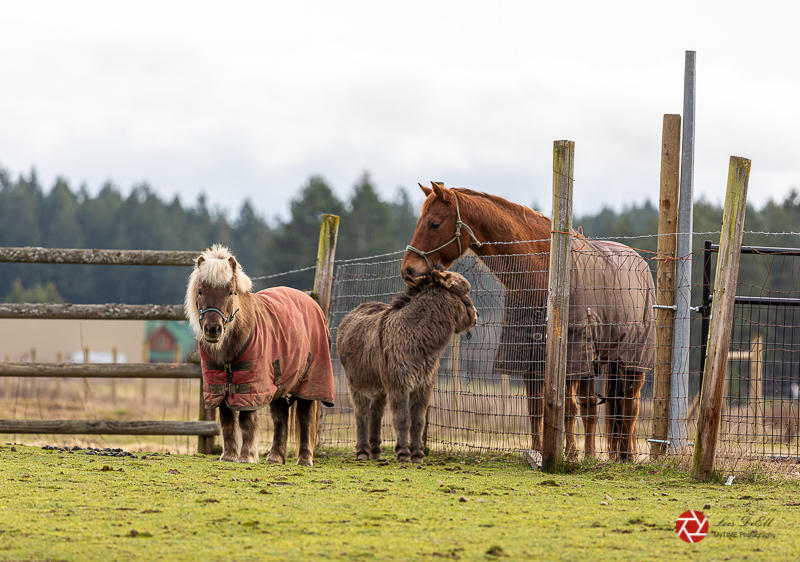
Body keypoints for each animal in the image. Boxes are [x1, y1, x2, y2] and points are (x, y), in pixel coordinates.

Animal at [404, 182, 652, 458]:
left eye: (435, 223)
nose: (408, 270)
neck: (541, 271)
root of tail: (640, 261)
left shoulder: (570, 359)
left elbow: (568, 409)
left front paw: (570, 455)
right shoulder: (529, 358)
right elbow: (536, 409)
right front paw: (538, 451)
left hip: (630, 361)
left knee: (628, 407)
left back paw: (620, 457)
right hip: (603, 361)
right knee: (599, 408)